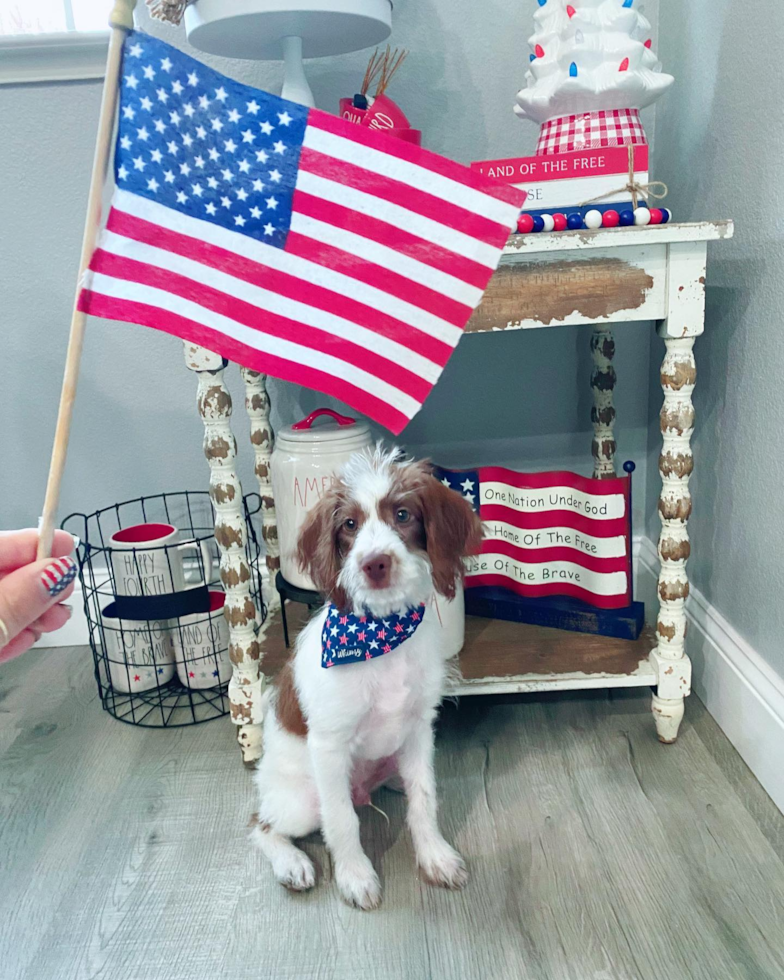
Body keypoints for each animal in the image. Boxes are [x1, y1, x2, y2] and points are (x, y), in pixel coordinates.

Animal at [254, 446, 480, 912]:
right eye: (349, 525)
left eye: (403, 514)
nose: (374, 564)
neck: (382, 635)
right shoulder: (329, 746)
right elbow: (341, 820)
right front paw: (356, 876)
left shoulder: (418, 729)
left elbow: (425, 799)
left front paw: (434, 856)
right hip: (299, 802)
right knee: (262, 824)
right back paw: (291, 863)